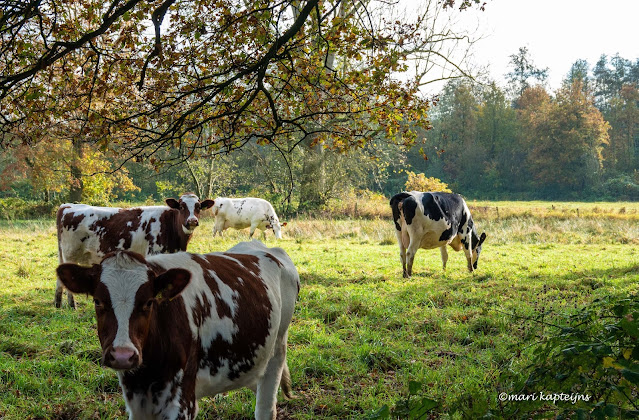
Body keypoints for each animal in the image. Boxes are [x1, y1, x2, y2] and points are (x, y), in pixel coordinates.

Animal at [55, 194, 215, 308]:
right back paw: (71, 304)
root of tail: (66, 206)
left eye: (198, 207)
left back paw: (58, 303)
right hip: (70, 253)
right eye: (181, 206)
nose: (192, 221)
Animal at [56, 240, 302, 420]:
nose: (123, 355)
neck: (148, 374)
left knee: (265, 409)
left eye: (149, 302)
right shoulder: (137, 401)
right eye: (97, 301)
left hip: (276, 352)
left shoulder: (182, 401)